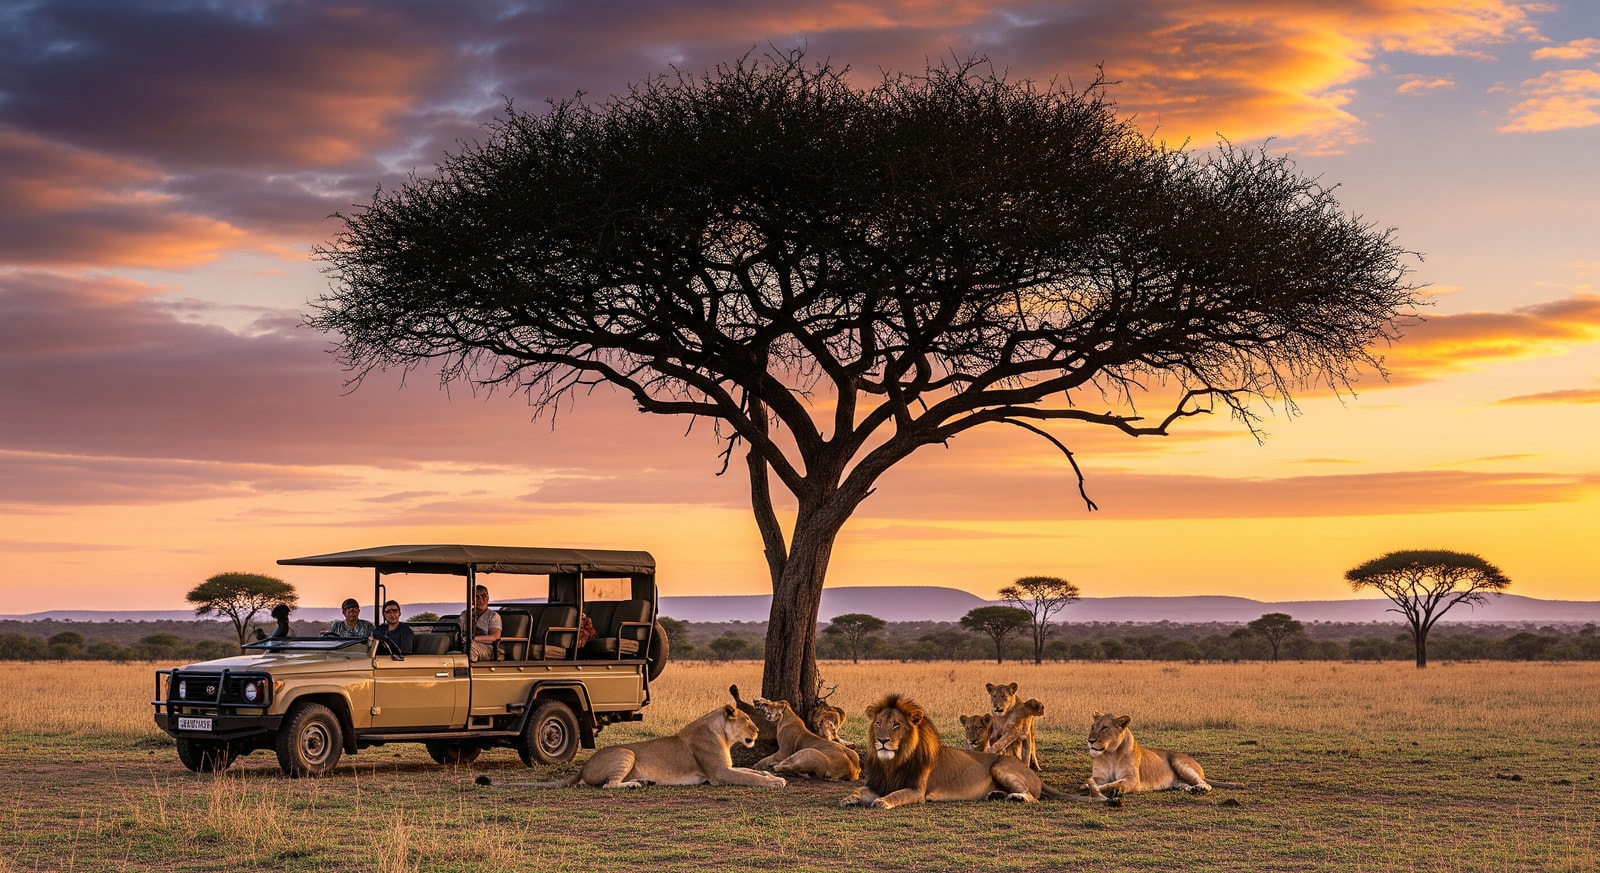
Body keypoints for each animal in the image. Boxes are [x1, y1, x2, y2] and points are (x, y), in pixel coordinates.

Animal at [476, 703, 786, 790]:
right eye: (748, 720)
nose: (758, 731)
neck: (721, 733)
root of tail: (583, 766)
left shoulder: (728, 768)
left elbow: (752, 772)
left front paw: (773, 775)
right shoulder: (719, 775)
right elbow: (749, 778)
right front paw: (773, 783)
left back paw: (645, 781)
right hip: (626, 752)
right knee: (607, 786)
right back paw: (635, 784)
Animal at [841, 694, 1114, 809]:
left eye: (896, 725)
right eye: (879, 723)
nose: (882, 740)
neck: (893, 760)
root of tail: (1035, 775)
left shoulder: (916, 790)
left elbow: (896, 795)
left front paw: (882, 802)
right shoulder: (878, 782)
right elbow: (860, 790)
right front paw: (851, 798)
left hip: (1001, 765)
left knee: (1032, 797)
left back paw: (1015, 798)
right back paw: (996, 795)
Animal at [1082, 711, 1244, 797]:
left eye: (1104, 728)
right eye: (1092, 727)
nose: (1090, 741)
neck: (1110, 754)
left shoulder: (1133, 780)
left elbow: (1115, 784)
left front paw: (1094, 789)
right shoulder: (1100, 776)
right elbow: (1093, 779)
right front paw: (1087, 785)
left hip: (1179, 763)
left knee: (1205, 783)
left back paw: (1200, 789)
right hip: (1178, 780)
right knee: (1184, 784)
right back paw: (1192, 789)